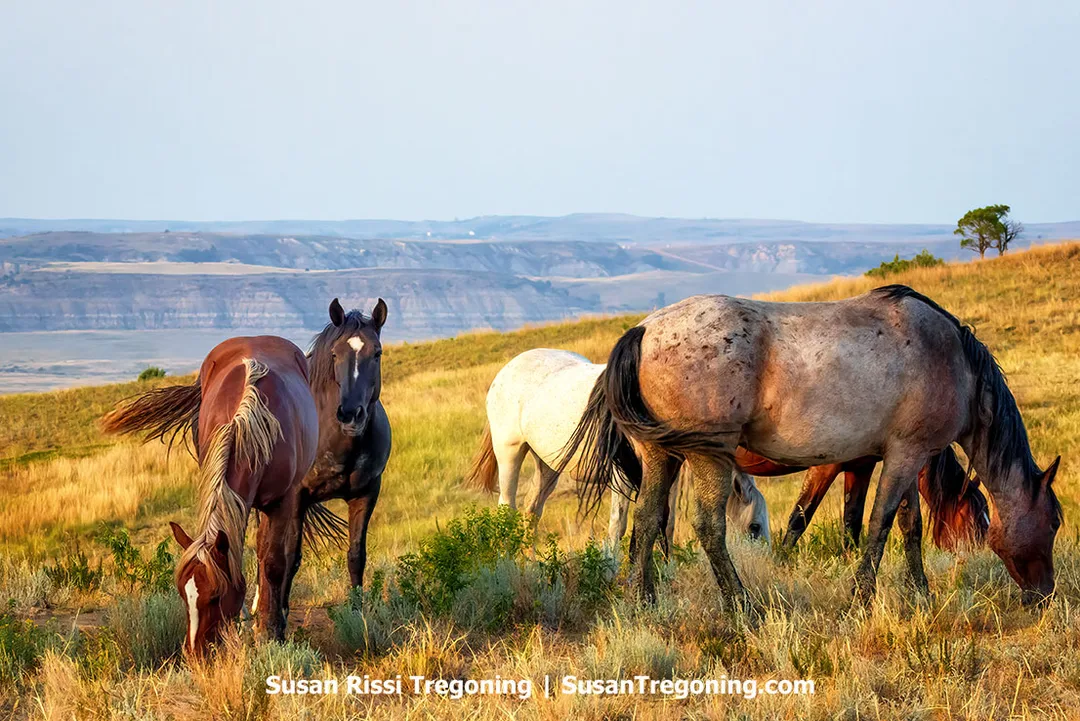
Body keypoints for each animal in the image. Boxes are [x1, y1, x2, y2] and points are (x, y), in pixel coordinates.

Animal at [102, 335, 335, 653]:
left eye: (215, 596)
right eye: (182, 594)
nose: (195, 653)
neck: (250, 426)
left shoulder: (282, 502)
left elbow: (274, 562)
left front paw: (270, 631)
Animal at [464, 349, 772, 545]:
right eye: (754, 527)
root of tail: (508, 368)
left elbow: (667, 524)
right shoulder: (620, 475)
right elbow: (618, 524)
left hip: (549, 464)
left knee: (531, 512)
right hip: (510, 454)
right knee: (507, 510)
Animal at [737, 445, 990, 550]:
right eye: (972, 520)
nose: (977, 559)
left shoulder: (860, 468)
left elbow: (852, 523)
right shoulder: (824, 468)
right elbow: (799, 518)